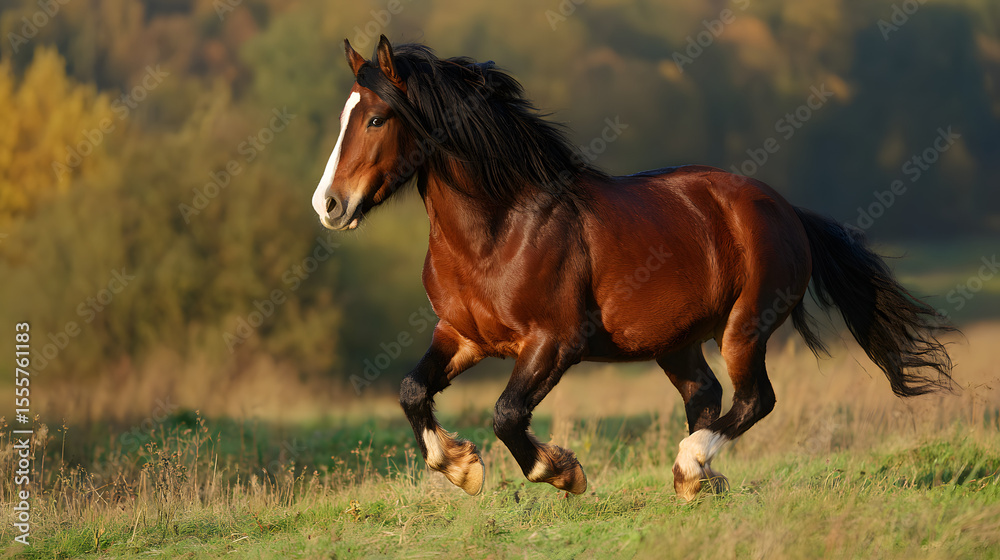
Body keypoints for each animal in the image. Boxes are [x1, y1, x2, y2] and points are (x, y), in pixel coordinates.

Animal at [311, 35, 954, 501]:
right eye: (343, 116)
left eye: (376, 120)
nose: (329, 205)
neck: (498, 233)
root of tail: (784, 208)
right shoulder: (462, 336)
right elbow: (412, 390)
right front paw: (461, 468)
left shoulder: (554, 343)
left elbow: (507, 414)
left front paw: (562, 473)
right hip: (675, 340)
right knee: (706, 394)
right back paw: (696, 480)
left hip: (745, 327)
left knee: (754, 400)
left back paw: (691, 464)